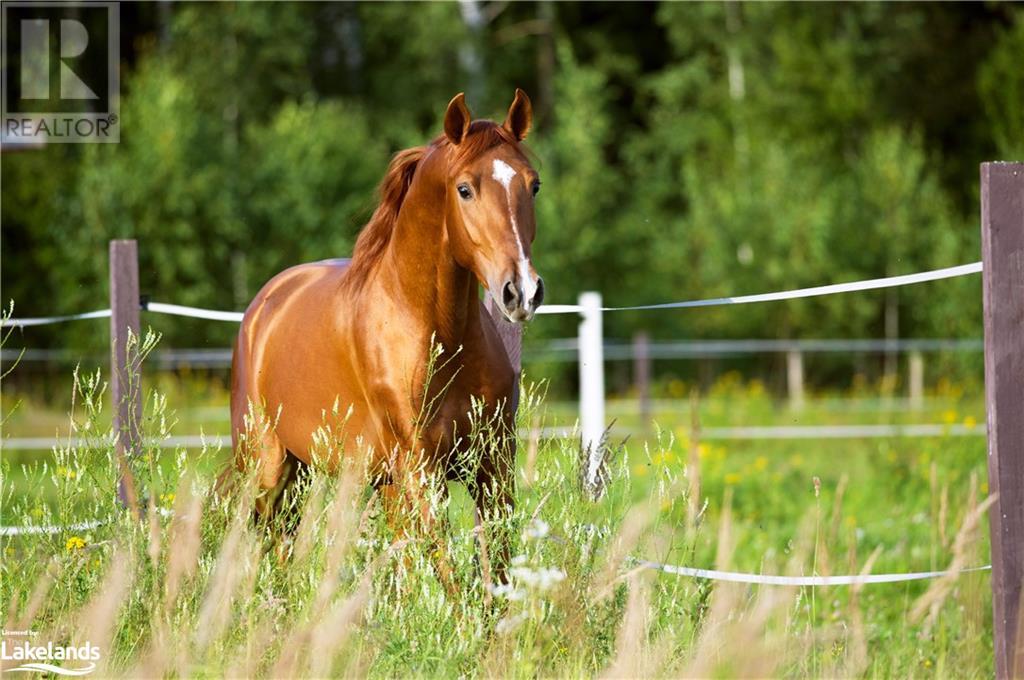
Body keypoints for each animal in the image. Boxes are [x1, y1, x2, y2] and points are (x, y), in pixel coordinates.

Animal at [233, 87, 548, 581]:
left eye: (532, 185)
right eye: (464, 189)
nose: (521, 291)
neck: (439, 336)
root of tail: (264, 305)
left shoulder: (492, 465)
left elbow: (495, 567)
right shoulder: (421, 471)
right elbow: (447, 571)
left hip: (342, 475)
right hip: (269, 467)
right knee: (270, 541)